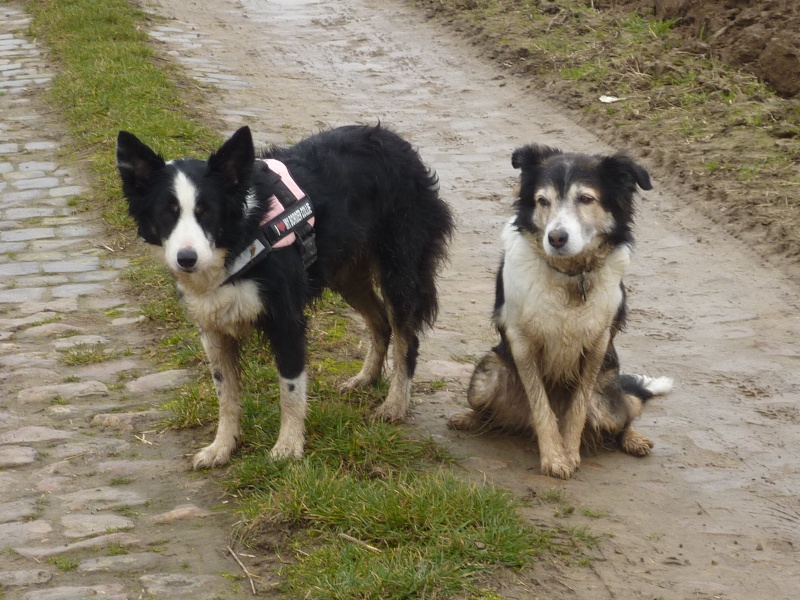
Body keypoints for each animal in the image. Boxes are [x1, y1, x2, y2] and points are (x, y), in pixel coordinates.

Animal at [119, 123, 456, 468]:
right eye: (167, 214)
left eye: (207, 213)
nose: (186, 259)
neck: (242, 237)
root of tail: (394, 140)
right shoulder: (213, 329)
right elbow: (226, 395)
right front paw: (222, 447)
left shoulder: (287, 321)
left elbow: (290, 390)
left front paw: (288, 448)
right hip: (346, 274)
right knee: (380, 322)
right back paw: (366, 378)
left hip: (399, 270)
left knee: (407, 338)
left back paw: (395, 404)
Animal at [450, 143, 668, 480]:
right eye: (543, 201)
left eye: (586, 199)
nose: (556, 238)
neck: (570, 276)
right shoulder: (522, 342)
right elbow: (541, 405)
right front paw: (554, 456)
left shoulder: (597, 343)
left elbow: (577, 408)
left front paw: (569, 452)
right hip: (486, 376)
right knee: (488, 411)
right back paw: (469, 418)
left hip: (606, 397)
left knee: (627, 410)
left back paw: (634, 438)